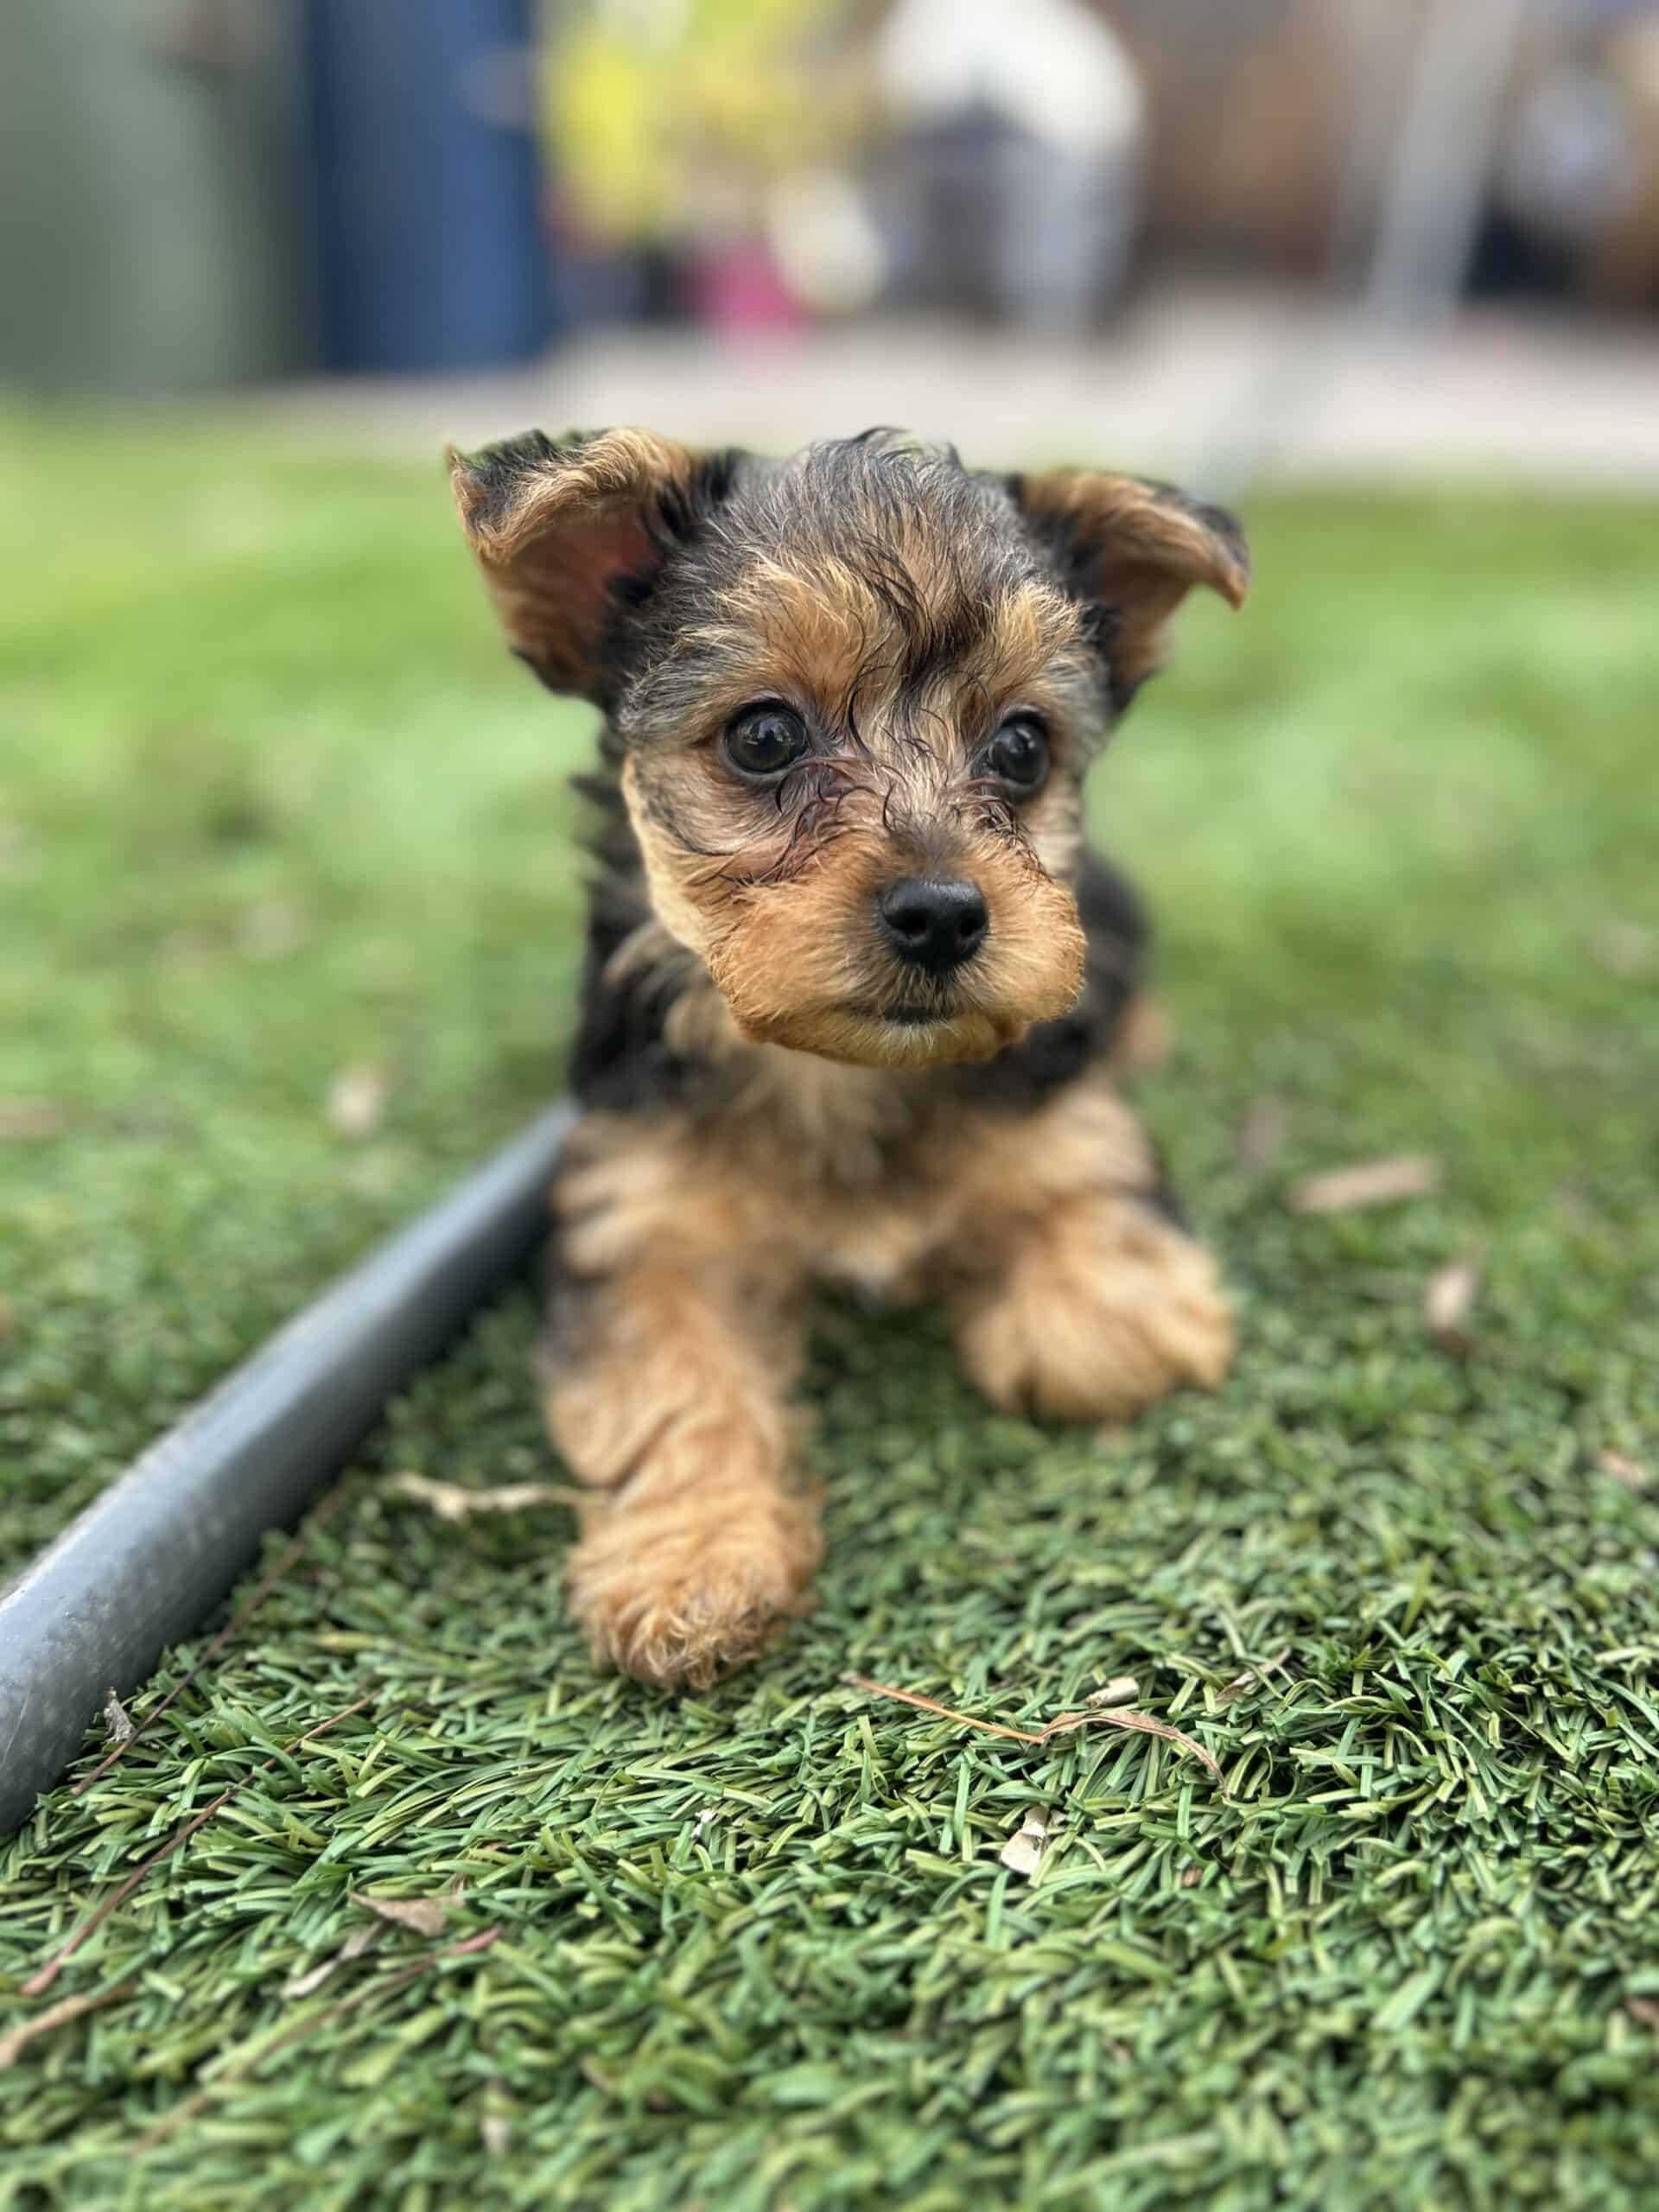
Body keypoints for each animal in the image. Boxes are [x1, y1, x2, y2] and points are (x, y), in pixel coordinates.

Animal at [448, 422, 1256, 1681]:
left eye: (1022, 746)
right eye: (765, 736)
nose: (942, 914)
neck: (841, 1073)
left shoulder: (1067, 1119)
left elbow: (1098, 1296)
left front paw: (1081, 1304)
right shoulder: (639, 1213)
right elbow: (673, 1381)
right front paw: (694, 1560)